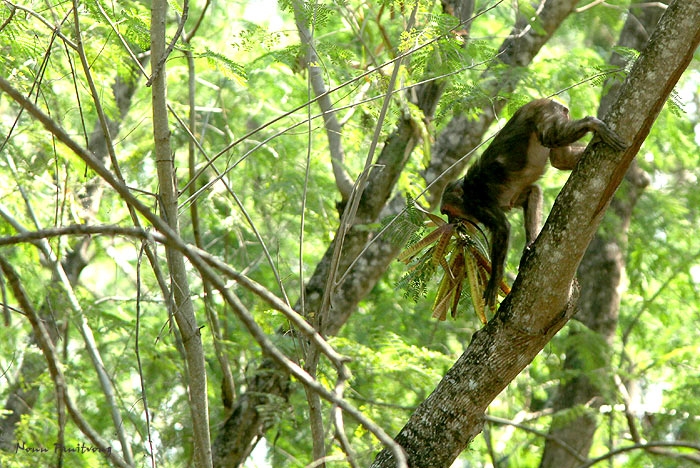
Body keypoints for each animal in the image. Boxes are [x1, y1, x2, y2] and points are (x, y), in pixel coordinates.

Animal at [440, 98, 628, 308]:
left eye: (447, 211)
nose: (450, 222)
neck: (467, 192)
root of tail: (546, 101)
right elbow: (532, 193)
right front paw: (530, 244)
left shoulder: (479, 204)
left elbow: (502, 228)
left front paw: (495, 280)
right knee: (560, 159)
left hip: (543, 115)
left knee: (550, 137)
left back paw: (591, 123)